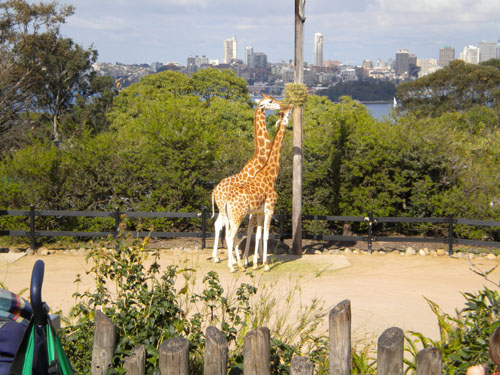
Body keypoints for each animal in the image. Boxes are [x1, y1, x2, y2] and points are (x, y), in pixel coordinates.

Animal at [210, 93, 282, 264]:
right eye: (270, 101)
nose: (281, 104)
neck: (261, 157)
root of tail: (214, 191)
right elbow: (253, 230)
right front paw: (251, 258)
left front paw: (254, 257)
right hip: (226, 209)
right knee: (225, 227)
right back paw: (231, 259)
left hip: (224, 209)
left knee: (219, 225)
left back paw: (217, 257)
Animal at [224, 104, 292, 272]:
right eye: (287, 113)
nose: (291, 105)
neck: (270, 175)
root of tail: (227, 202)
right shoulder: (269, 208)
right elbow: (266, 235)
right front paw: (265, 264)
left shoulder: (260, 211)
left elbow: (259, 234)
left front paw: (256, 263)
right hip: (238, 215)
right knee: (231, 235)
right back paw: (235, 266)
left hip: (232, 215)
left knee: (229, 234)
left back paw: (237, 264)